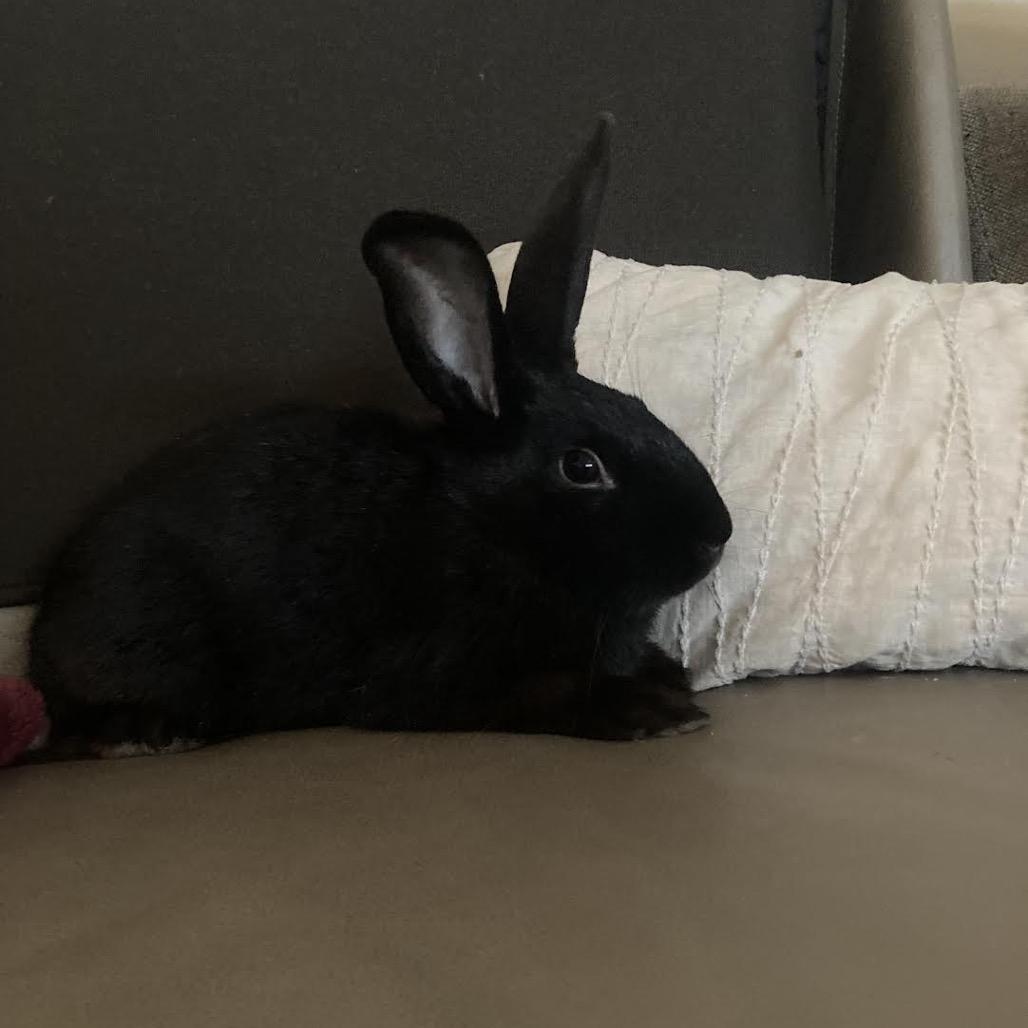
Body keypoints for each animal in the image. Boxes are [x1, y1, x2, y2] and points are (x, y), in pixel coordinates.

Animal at [28, 114, 732, 758]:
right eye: (582, 467)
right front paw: (656, 711)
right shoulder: (442, 668)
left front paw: (669, 679)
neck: (486, 526)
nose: (716, 535)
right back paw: (145, 732)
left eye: (642, 408)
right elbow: (546, 691)